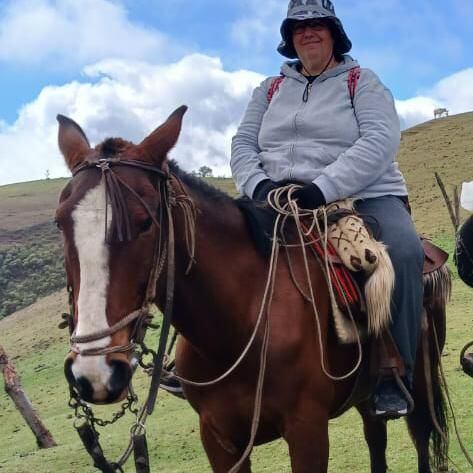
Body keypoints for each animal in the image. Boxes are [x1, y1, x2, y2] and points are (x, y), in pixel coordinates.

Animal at [57, 107, 448, 472]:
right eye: (61, 223)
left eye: (144, 223)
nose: (95, 374)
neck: (239, 325)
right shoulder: (218, 439)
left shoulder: (307, 429)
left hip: (418, 383)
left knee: (421, 437)